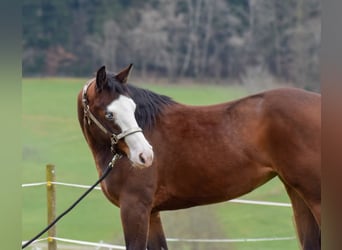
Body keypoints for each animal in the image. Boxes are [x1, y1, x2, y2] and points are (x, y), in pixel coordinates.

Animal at [77, 65, 320, 250]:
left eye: (132, 107)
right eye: (109, 114)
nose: (145, 156)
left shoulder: (135, 208)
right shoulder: (152, 213)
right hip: (297, 194)